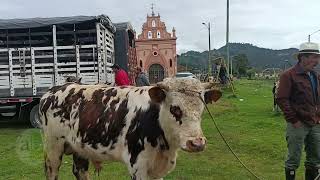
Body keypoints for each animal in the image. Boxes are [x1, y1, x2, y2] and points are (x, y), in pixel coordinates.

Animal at [38, 78, 221, 179]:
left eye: (202, 108)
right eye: (175, 109)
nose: (197, 143)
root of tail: (52, 91)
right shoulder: (137, 165)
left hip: (79, 148)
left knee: (79, 171)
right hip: (53, 147)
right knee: (52, 172)